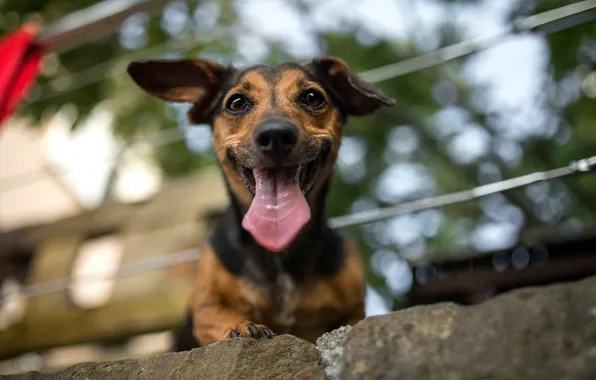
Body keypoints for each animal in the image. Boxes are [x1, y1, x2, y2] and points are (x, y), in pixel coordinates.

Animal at [126, 55, 396, 348]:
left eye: (313, 97)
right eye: (236, 103)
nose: (275, 135)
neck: (278, 253)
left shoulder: (355, 310)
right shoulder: (204, 308)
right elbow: (219, 315)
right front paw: (242, 326)